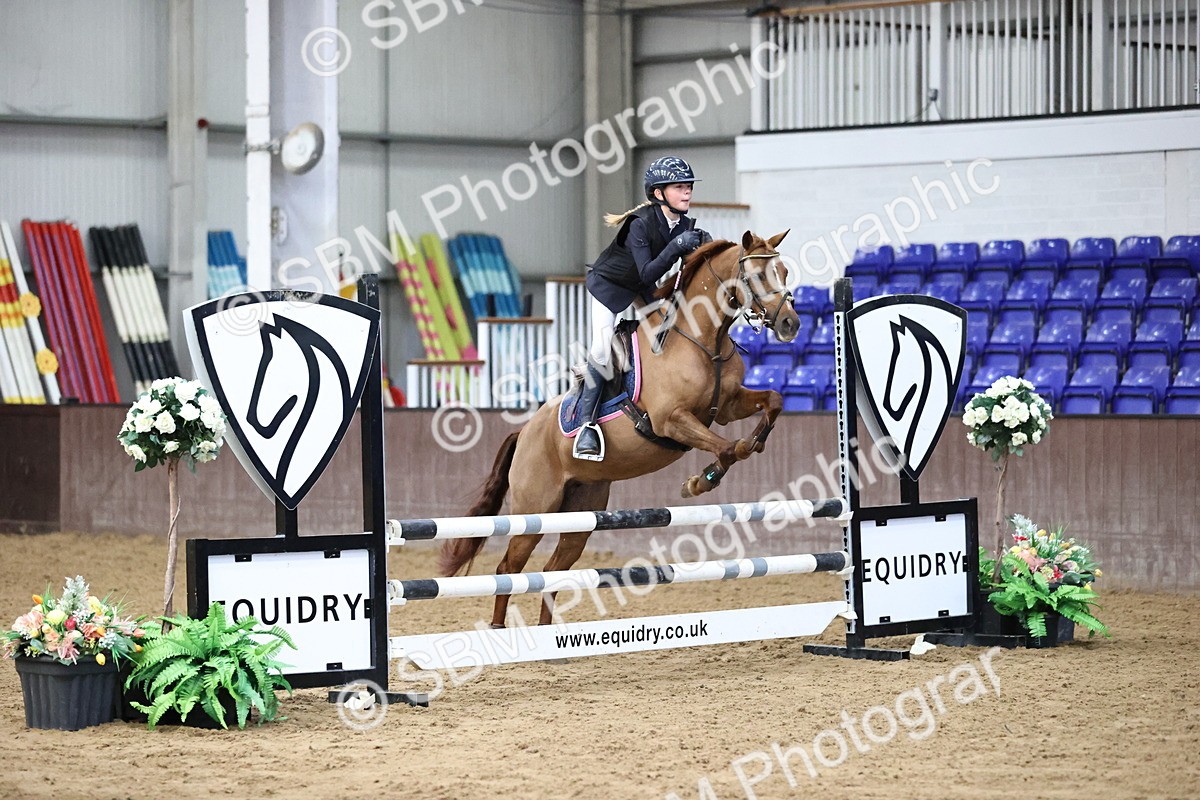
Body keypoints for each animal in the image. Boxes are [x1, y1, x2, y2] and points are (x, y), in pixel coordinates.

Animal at [439, 230, 802, 628]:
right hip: (535, 508)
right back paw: (498, 628)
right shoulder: (671, 419)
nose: (790, 324)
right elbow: (726, 447)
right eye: (758, 275)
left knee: (552, 571)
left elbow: (773, 402)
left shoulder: (728, 406)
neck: (702, 339)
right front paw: (701, 481)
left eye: (784, 271)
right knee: (509, 567)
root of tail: (525, 432)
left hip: (581, 512)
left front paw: (754, 443)